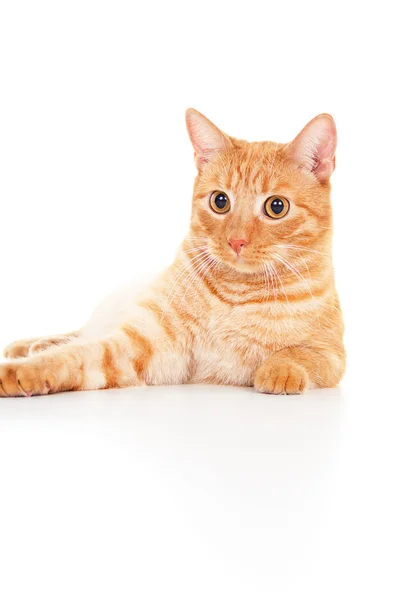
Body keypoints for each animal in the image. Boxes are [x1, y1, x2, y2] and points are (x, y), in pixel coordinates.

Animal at [0, 109, 344, 396]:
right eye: (220, 201)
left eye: (276, 207)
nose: (236, 241)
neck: (236, 294)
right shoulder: (145, 346)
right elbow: (74, 356)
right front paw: (21, 372)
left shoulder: (334, 356)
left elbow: (300, 353)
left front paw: (279, 370)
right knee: (80, 334)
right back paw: (28, 346)